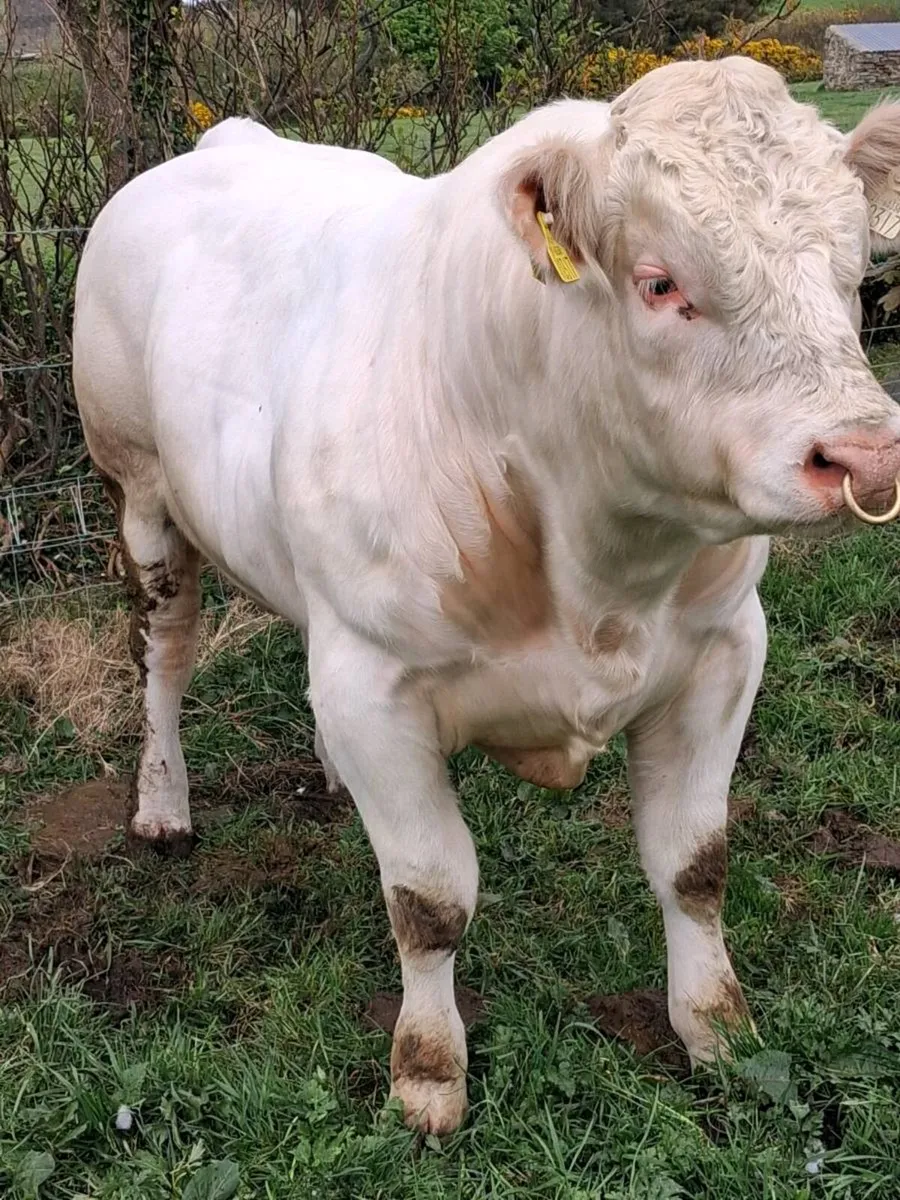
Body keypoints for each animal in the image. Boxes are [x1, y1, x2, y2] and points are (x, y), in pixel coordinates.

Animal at [72, 56, 900, 1134]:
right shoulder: (375, 680)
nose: (865, 456)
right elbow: (430, 902)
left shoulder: (725, 649)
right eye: (660, 282)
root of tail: (224, 143)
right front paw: (429, 1074)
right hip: (138, 493)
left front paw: (718, 1029)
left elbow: (694, 863)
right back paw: (163, 802)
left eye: (851, 271)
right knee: (165, 656)